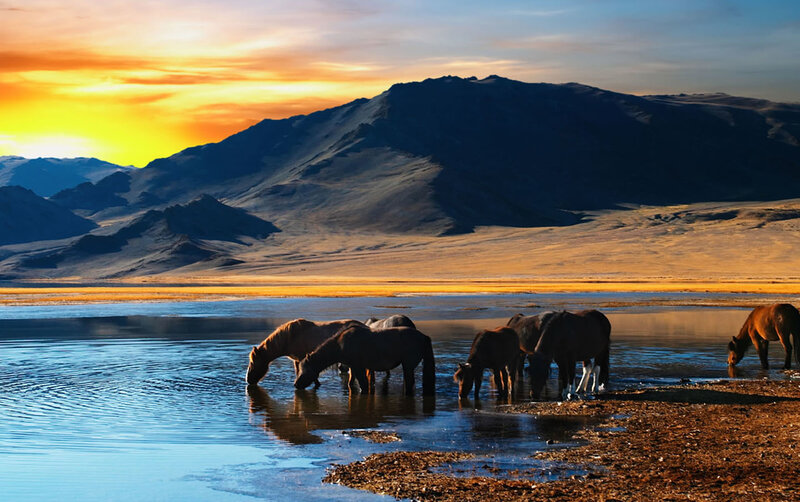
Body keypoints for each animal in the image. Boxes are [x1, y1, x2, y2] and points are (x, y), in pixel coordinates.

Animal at [294, 325, 436, 396]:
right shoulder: (353, 367)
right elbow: (351, 382)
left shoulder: (358, 367)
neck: (340, 345)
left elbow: (363, 384)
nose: (296, 384)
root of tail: (424, 337)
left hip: (408, 365)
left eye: (305, 370)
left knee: (410, 382)